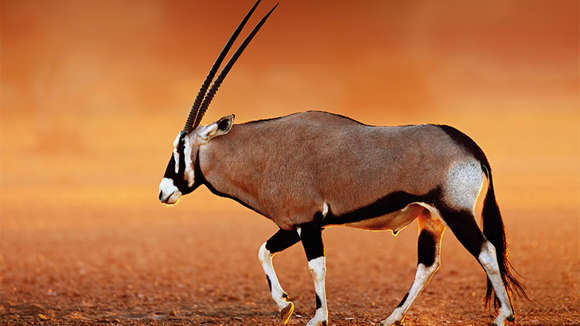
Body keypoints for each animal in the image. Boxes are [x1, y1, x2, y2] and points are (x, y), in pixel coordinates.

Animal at [157, 1, 524, 324]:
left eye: (180, 147)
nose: (163, 192)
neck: (263, 152)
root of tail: (470, 147)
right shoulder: (291, 225)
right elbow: (263, 251)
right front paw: (285, 305)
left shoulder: (307, 223)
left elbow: (315, 266)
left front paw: (316, 317)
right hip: (430, 218)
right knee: (428, 264)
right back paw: (391, 318)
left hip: (455, 211)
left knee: (486, 251)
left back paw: (503, 316)